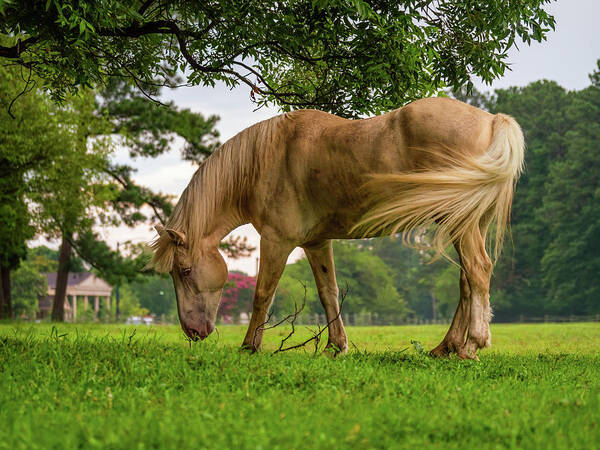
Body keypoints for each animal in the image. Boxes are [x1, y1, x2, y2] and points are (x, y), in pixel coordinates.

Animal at [151, 97, 524, 358]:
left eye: (184, 271)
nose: (193, 332)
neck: (266, 159)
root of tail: (492, 120)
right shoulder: (316, 243)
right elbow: (328, 293)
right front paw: (336, 346)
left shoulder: (276, 241)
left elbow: (263, 295)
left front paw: (249, 346)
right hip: (466, 222)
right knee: (467, 282)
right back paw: (446, 347)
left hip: (458, 221)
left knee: (477, 270)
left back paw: (472, 344)